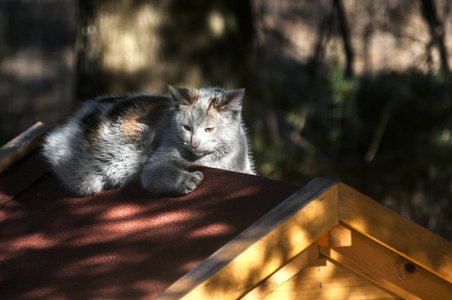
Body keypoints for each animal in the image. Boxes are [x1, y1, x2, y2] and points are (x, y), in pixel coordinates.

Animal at [43, 85, 254, 196]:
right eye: (187, 128)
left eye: (209, 129)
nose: (194, 143)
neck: (219, 160)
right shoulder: (156, 164)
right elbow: (161, 172)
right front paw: (187, 179)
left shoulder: (244, 168)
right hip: (85, 180)